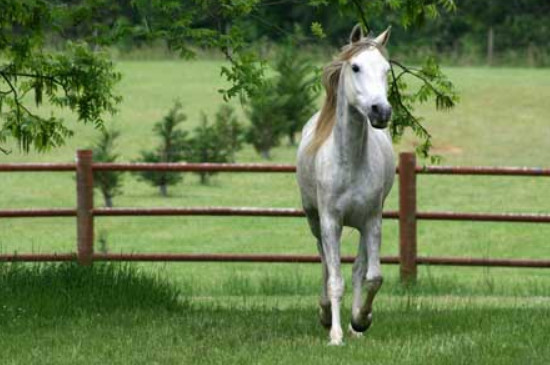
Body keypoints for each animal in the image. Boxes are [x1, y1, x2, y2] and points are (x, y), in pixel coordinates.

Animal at [298, 25, 396, 344]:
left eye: (386, 69)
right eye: (355, 67)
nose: (381, 112)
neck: (350, 162)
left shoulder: (372, 221)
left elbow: (371, 276)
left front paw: (360, 321)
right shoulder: (331, 222)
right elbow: (335, 279)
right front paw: (335, 335)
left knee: (357, 269)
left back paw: (355, 327)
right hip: (314, 221)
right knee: (325, 264)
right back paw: (325, 314)